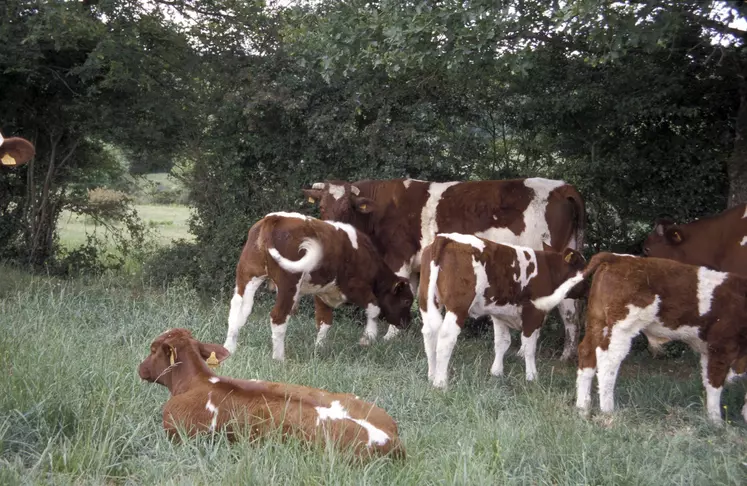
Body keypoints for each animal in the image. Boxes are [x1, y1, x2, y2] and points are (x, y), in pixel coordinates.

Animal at [222, 211, 414, 358]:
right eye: (406, 301)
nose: (407, 324)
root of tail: (275, 217)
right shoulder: (354, 287)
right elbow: (374, 308)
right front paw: (368, 338)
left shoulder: (322, 292)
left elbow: (324, 321)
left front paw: (319, 348)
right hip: (289, 284)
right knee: (278, 317)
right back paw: (278, 358)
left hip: (247, 276)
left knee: (238, 311)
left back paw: (229, 349)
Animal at [302, 178, 584, 360]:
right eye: (322, 207)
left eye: (346, 208)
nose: (332, 230)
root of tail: (562, 187)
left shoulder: (399, 257)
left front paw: (388, 336)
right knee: (569, 308)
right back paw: (566, 355)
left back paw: (528, 352)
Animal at [418, 234, 588, 390]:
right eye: (584, 269)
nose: (587, 290)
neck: (549, 270)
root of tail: (446, 237)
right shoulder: (534, 313)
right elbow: (529, 347)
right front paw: (532, 376)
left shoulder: (500, 314)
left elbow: (502, 342)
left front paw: (496, 372)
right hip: (458, 307)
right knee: (446, 336)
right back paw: (440, 382)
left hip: (427, 301)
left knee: (429, 333)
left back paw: (431, 376)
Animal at [544, 252, 747, 424]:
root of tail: (615, 257)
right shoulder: (722, 346)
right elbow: (715, 382)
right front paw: (716, 421)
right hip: (622, 326)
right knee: (608, 360)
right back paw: (608, 411)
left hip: (597, 320)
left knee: (587, 352)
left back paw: (583, 407)